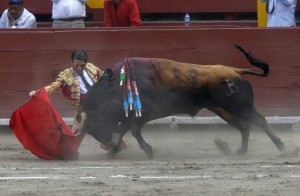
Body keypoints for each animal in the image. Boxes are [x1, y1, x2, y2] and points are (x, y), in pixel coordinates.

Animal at [76, 45, 284, 158]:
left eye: (93, 123)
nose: (106, 142)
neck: (115, 87)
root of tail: (236, 70)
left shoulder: (142, 115)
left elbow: (133, 131)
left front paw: (148, 150)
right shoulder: (130, 116)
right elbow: (122, 131)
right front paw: (112, 152)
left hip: (241, 107)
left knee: (260, 121)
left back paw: (281, 146)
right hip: (224, 110)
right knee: (244, 127)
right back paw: (239, 151)